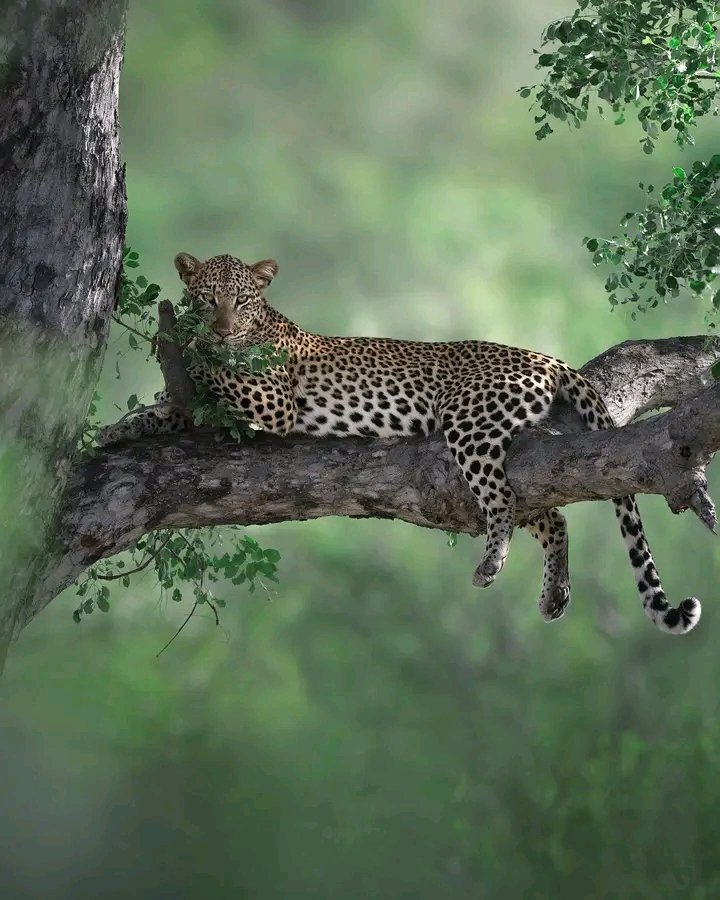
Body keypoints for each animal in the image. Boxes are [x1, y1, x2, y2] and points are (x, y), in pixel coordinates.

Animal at [99, 252, 701, 635]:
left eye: (242, 303)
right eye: (207, 299)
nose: (221, 328)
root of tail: (546, 357)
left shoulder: (270, 403)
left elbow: (212, 380)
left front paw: (195, 357)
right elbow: (161, 410)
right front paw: (118, 427)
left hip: (470, 422)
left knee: (503, 502)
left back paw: (492, 561)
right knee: (550, 513)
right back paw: (555, 593)